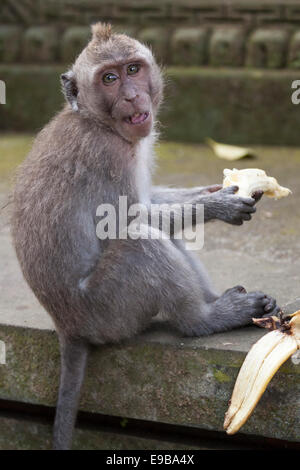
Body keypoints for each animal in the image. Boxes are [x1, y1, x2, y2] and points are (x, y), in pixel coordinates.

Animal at [10, 23, 280, 450]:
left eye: (133, 69)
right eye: (109, 78)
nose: (132, 96)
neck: (96, 121)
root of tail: (67, 328)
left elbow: (152, 203)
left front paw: (214, 191)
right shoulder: (107, 153)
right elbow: (125, 219)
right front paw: (217, 205)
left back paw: (217, 301)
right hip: (107, 309)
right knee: (142, 241)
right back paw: (205, 319)